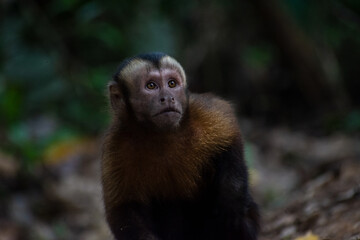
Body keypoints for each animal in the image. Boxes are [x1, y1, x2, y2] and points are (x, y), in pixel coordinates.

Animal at [101, 51, 258, 239]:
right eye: (151, 86)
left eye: (171, 84)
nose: (168, 97)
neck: (160, 134)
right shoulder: (115, 146)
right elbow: (124, 209)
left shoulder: (204, 113)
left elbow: (230, 133)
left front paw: (231, 199)